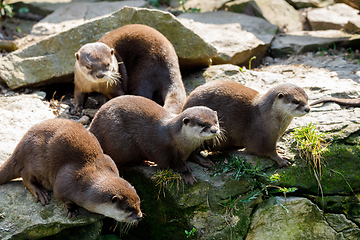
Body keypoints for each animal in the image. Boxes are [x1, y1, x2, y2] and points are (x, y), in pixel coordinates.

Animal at [0, 118, 143, 223]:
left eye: (139, 203)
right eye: (129, 209)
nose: (140, 216)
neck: (86, 189)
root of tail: (20, 145)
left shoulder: (109, 161)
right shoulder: (65, 183)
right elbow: (63, 197)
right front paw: (71, 209)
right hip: (35, 159)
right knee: (25, 176)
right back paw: (40, 192)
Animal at [88, 94, 221, 185]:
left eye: (216, 121)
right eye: (202, 124)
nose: (214, 130)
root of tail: (94, 124)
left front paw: (205, 161)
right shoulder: (163, 149)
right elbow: (170, 165)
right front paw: (186, 172)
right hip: (121, 142)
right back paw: (144, 162)